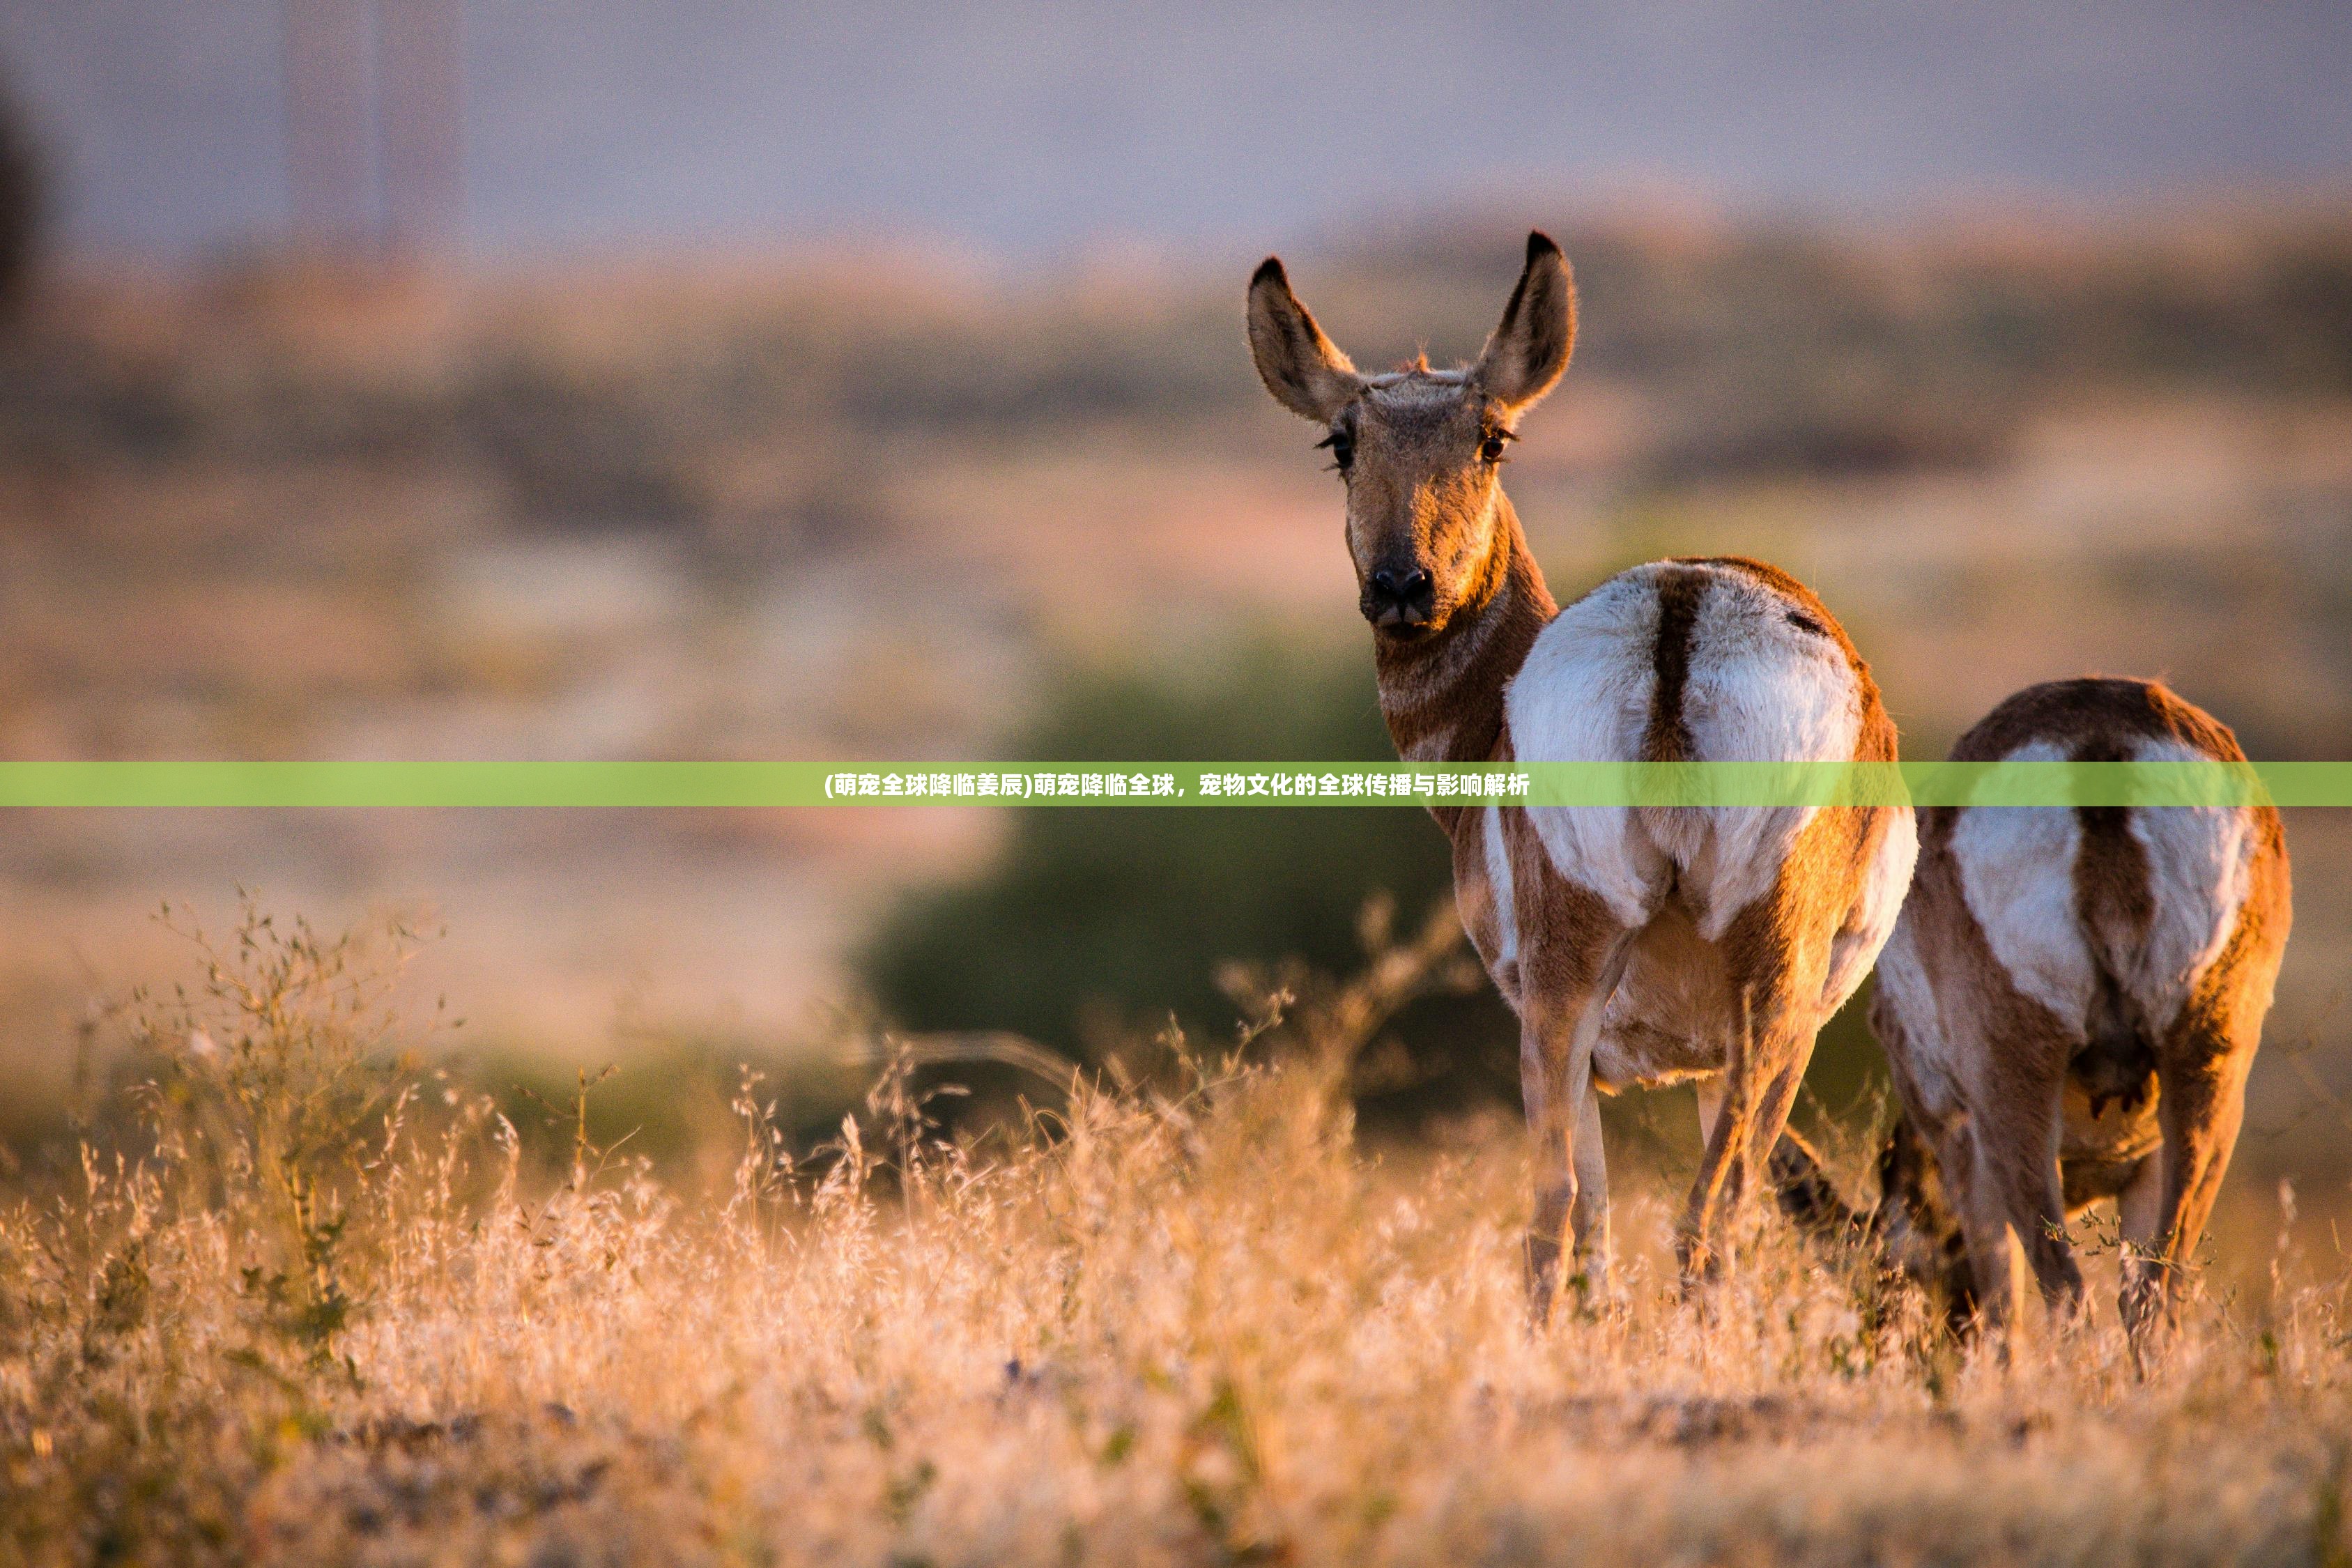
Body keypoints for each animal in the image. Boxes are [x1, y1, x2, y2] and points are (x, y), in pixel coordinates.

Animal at [1251, 230, 1909, 1316]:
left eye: (1492, 438)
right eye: (1340, 442)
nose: (1401, 587)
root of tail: (1678, 611)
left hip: (1609, 1009)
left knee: (1587, 1216)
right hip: (1735, 1006)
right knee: (1681, 1220)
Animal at [1863, 677, 2286, 1335]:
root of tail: (2097, 734)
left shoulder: (1962, 1144)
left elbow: (2002, 1310)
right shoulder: (2145, 1167)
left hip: (2014, 1104)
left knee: (2063, 1293)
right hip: (2207, 1081)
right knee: (2152, 1296)